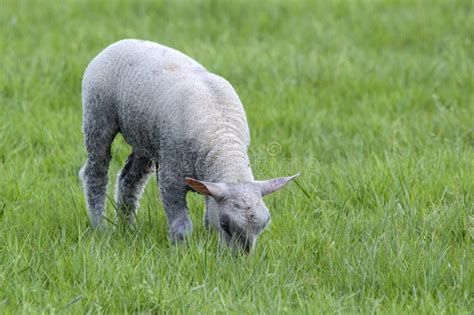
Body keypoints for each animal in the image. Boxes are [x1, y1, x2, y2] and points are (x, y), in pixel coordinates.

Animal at [79, 39, 298, 254]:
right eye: (225, 224)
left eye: (265, 223)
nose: (239, 259)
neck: (222, 139)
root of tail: (119, 42)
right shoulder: (171, 176)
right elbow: (181, 225)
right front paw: (181, 251)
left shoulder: (211, 179)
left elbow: (208, 215)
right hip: (97, 115)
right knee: (95, 173)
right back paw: (100, 225)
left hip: (143, 138)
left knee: (130, 179)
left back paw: (126, 227)